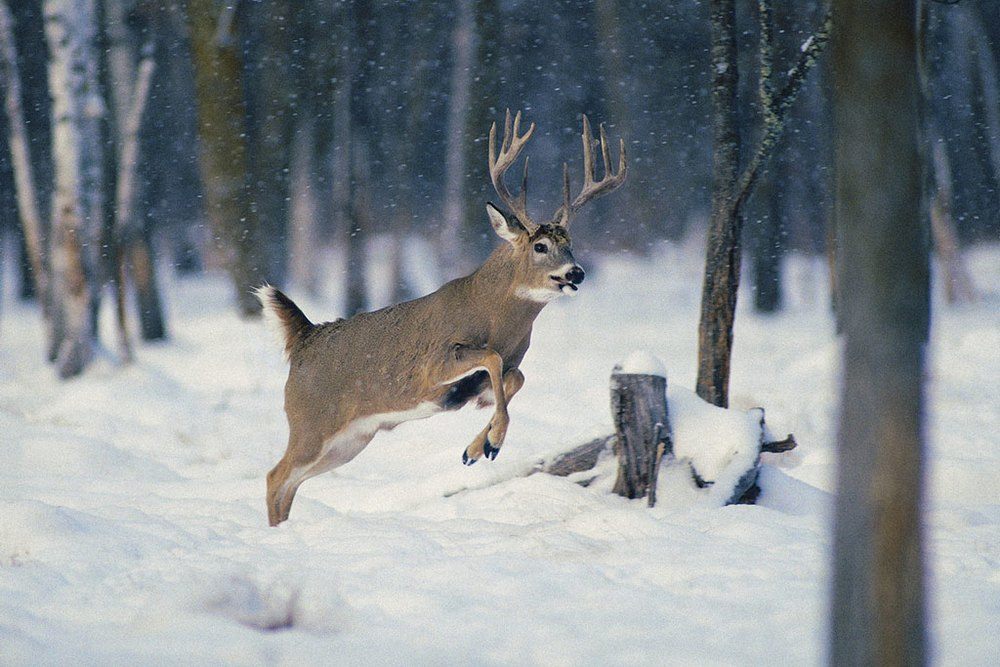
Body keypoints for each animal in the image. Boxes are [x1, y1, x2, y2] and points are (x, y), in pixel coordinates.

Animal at [256, 111, 624, 528]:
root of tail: (305, 337)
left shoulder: (496, 375)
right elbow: (492, 358)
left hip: (349, 440)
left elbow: (515, 376)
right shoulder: (433, 366)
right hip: (311, 421)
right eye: (540, 246)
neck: (494, 316)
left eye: (570, 244)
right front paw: (493, 442)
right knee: (275, 476)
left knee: (291, 482)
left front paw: (476, 448)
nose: (576, 272)